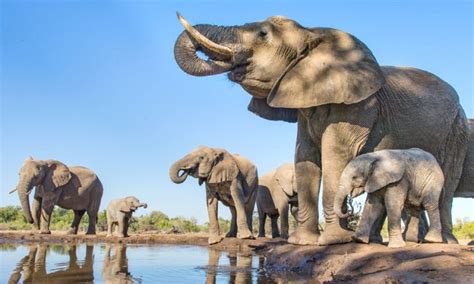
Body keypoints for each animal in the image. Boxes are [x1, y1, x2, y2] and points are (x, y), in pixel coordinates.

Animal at [173, 13, 470, 245]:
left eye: (263, 34)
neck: (312, 33)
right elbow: (305, 158)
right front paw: (303, 243)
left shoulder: (356, 107)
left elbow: (333, 156)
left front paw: (333, 241)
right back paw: (375, 241)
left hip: (457, 132)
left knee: (446, 188)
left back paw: (443, 242)